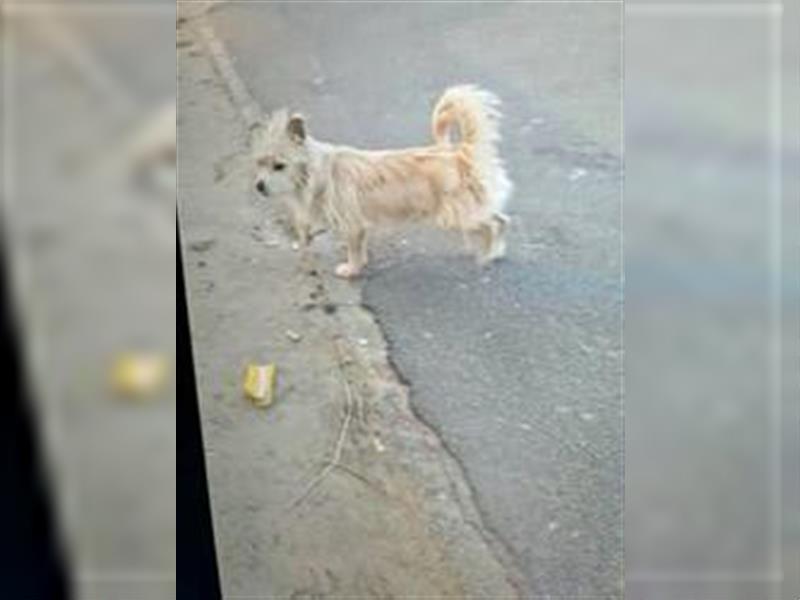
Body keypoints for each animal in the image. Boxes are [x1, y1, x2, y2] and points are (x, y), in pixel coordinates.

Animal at [253, 85, 512, 278]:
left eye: (279, 166)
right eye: (259, 163)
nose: (259, 186)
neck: (320, 172)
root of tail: (460, 153)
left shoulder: (352, 224)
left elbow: (353, 249)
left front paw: (351, 269)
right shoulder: (359, 225)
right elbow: (360, 247)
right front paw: (361, 264)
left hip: (457, 215)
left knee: (495, 222)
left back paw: (491, 253)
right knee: (500, 218)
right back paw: (497, 251)